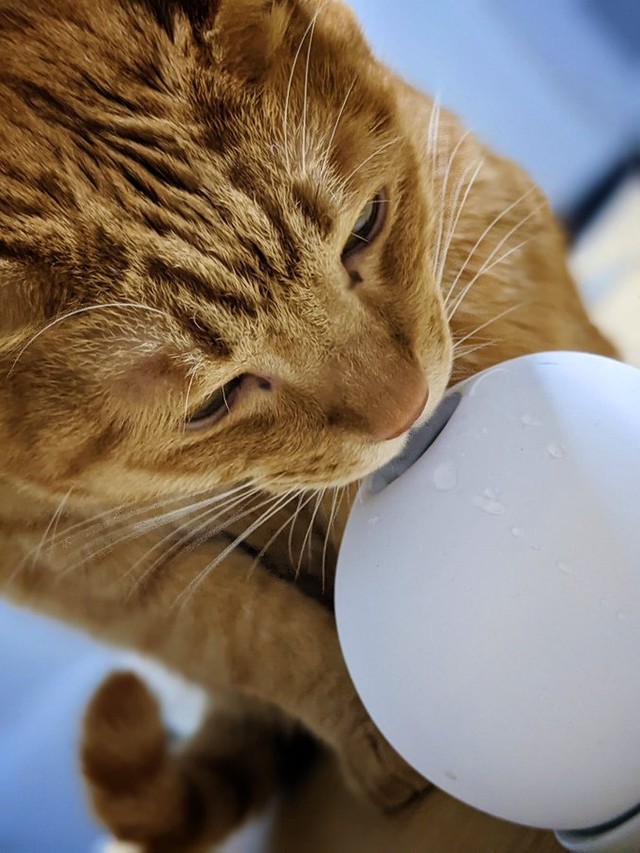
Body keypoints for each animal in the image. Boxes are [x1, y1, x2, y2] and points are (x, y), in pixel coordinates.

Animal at [0, 0, 616, 844]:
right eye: (212, 404)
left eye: (365, 228)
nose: (410, 408)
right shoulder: (61, 559)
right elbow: (253, 630)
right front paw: (371, 732)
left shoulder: (467, 205)